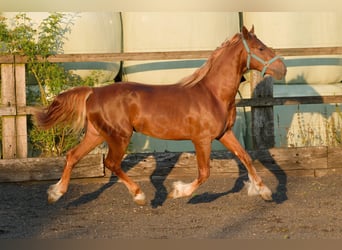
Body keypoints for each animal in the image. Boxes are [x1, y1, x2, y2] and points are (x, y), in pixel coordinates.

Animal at [34, 25, 286, 205]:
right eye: (260, 49)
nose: (282, 69)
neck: (213, 94)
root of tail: (93, 92)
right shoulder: (202, 139)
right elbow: (204, 173)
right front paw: (178, 192)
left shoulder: (225, 134)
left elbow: (246, 157)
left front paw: (265, 192)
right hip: (119, 136)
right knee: (111, 163)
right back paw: (139, 195)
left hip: (96, 134)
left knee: (72, 156)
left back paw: (55, 193)